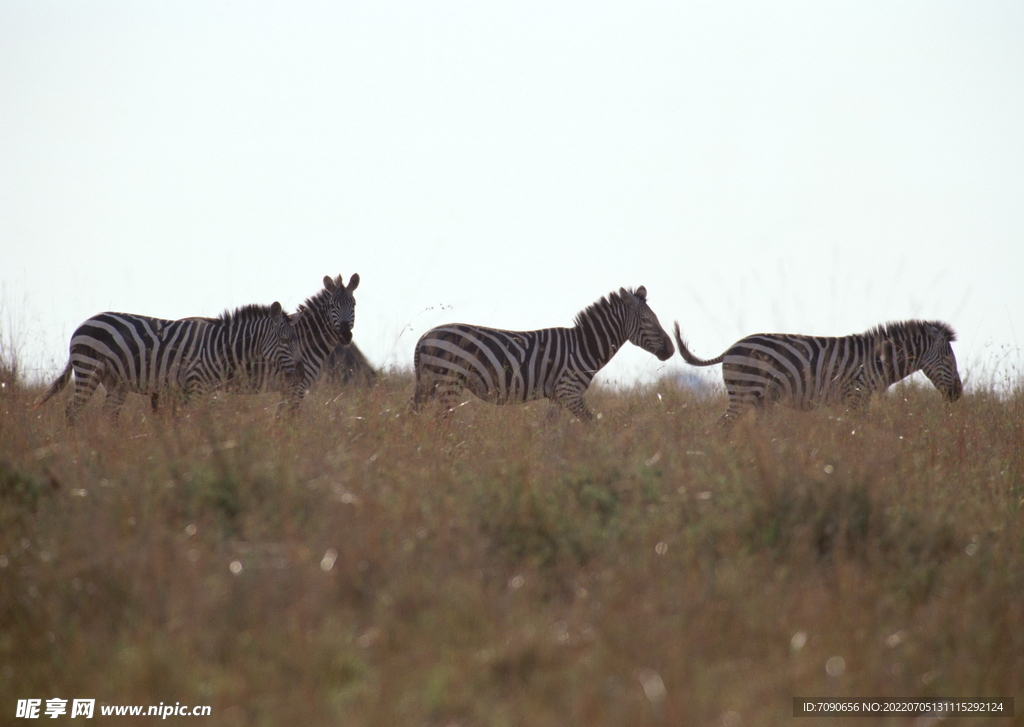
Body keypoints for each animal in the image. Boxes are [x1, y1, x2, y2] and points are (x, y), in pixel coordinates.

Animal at [39, 301, 303, 423]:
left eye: (295, 339)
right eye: (285, 339)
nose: (299, 370)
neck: (220, 346)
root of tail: (83, 324)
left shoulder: (204, 389)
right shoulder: (197, 383)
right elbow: (195, 419)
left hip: (114, 380)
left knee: (109, 415)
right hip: (89, 368)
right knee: (72, 410)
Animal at [411, 286, 675, 421]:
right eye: (647, 321)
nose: (672, 350)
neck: (584, 346)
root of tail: (424, 337)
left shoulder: (557, 396)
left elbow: (550, 430)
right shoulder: (570, 392)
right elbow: (594, 424)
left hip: (430, 383)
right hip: (448, 381)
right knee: (442, 421)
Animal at [675, 319, 962, 428]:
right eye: (949, 360)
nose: (958, 394)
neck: (878, 361)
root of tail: (731, 348)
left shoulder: (861, 398)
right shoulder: (857, 393)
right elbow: (858, 429)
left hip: (758, 399)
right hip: (745, 391)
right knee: (721, 426)